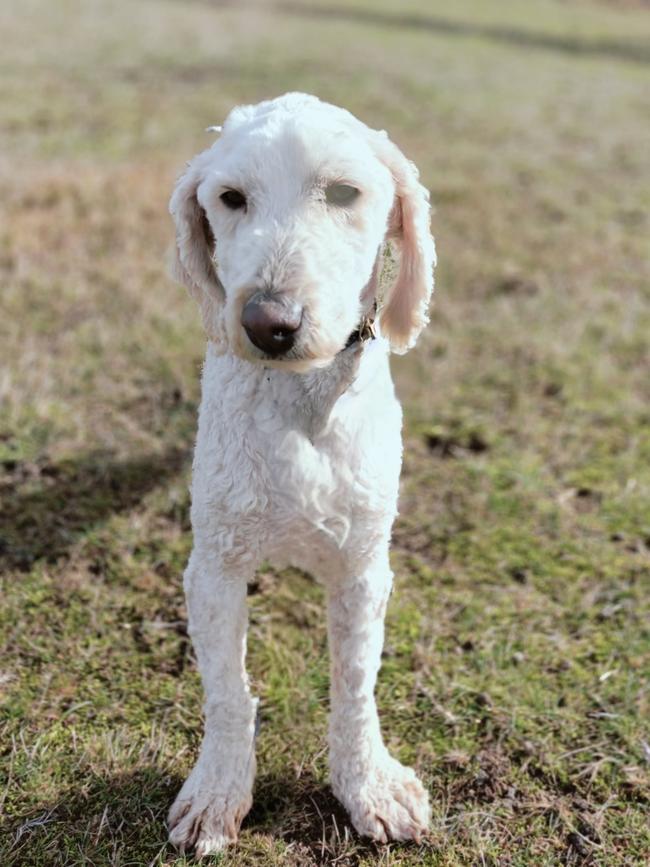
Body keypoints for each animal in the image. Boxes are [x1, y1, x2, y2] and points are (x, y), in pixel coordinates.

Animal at [166, 93, 436, 856]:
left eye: (343, 193)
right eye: (230, 199)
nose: (269, 323)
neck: (299, 398)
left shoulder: (363, 568)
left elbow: (355, 685)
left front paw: (368, 785)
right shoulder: (215, 566)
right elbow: (228, 691)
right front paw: (217, 794)